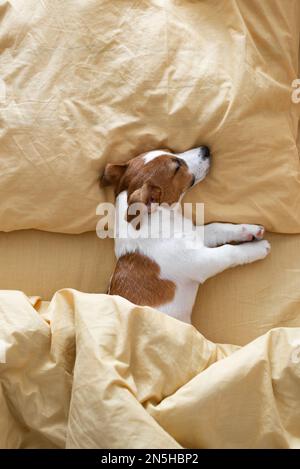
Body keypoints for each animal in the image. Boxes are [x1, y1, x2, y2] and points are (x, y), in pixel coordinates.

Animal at [100, 148, 270, 324]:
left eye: (169, 150)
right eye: (176, 167)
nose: (206, 149)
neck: (162, 219)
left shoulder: (196, 235)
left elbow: (218, 228)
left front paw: (250, 230)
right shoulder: (201, 261)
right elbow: (230, 251)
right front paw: (258, 248)